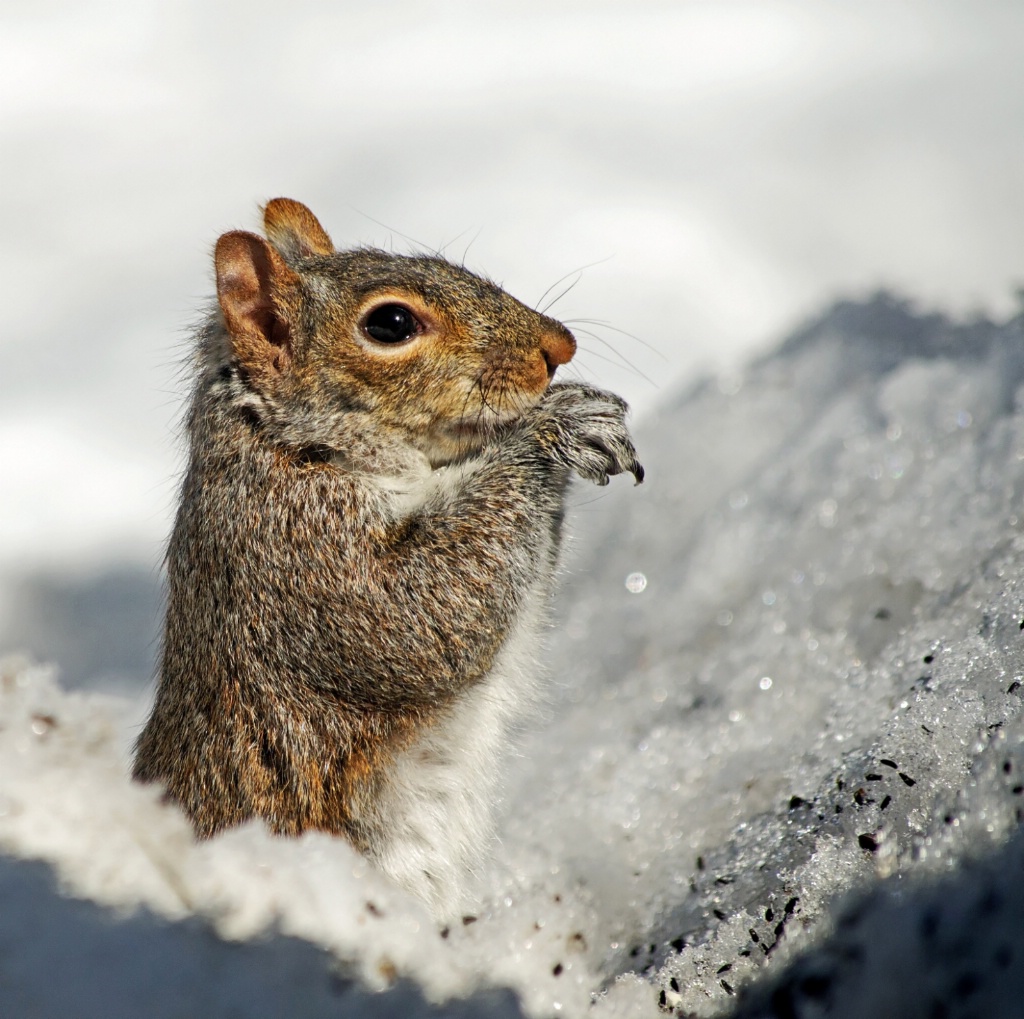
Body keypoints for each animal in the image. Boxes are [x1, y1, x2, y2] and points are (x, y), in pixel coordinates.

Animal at [132, 199, 643, 917]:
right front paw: (558, 423)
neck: (288, 441)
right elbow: (420, 619)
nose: (559, 346)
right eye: (391, 323)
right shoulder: (298, 552)